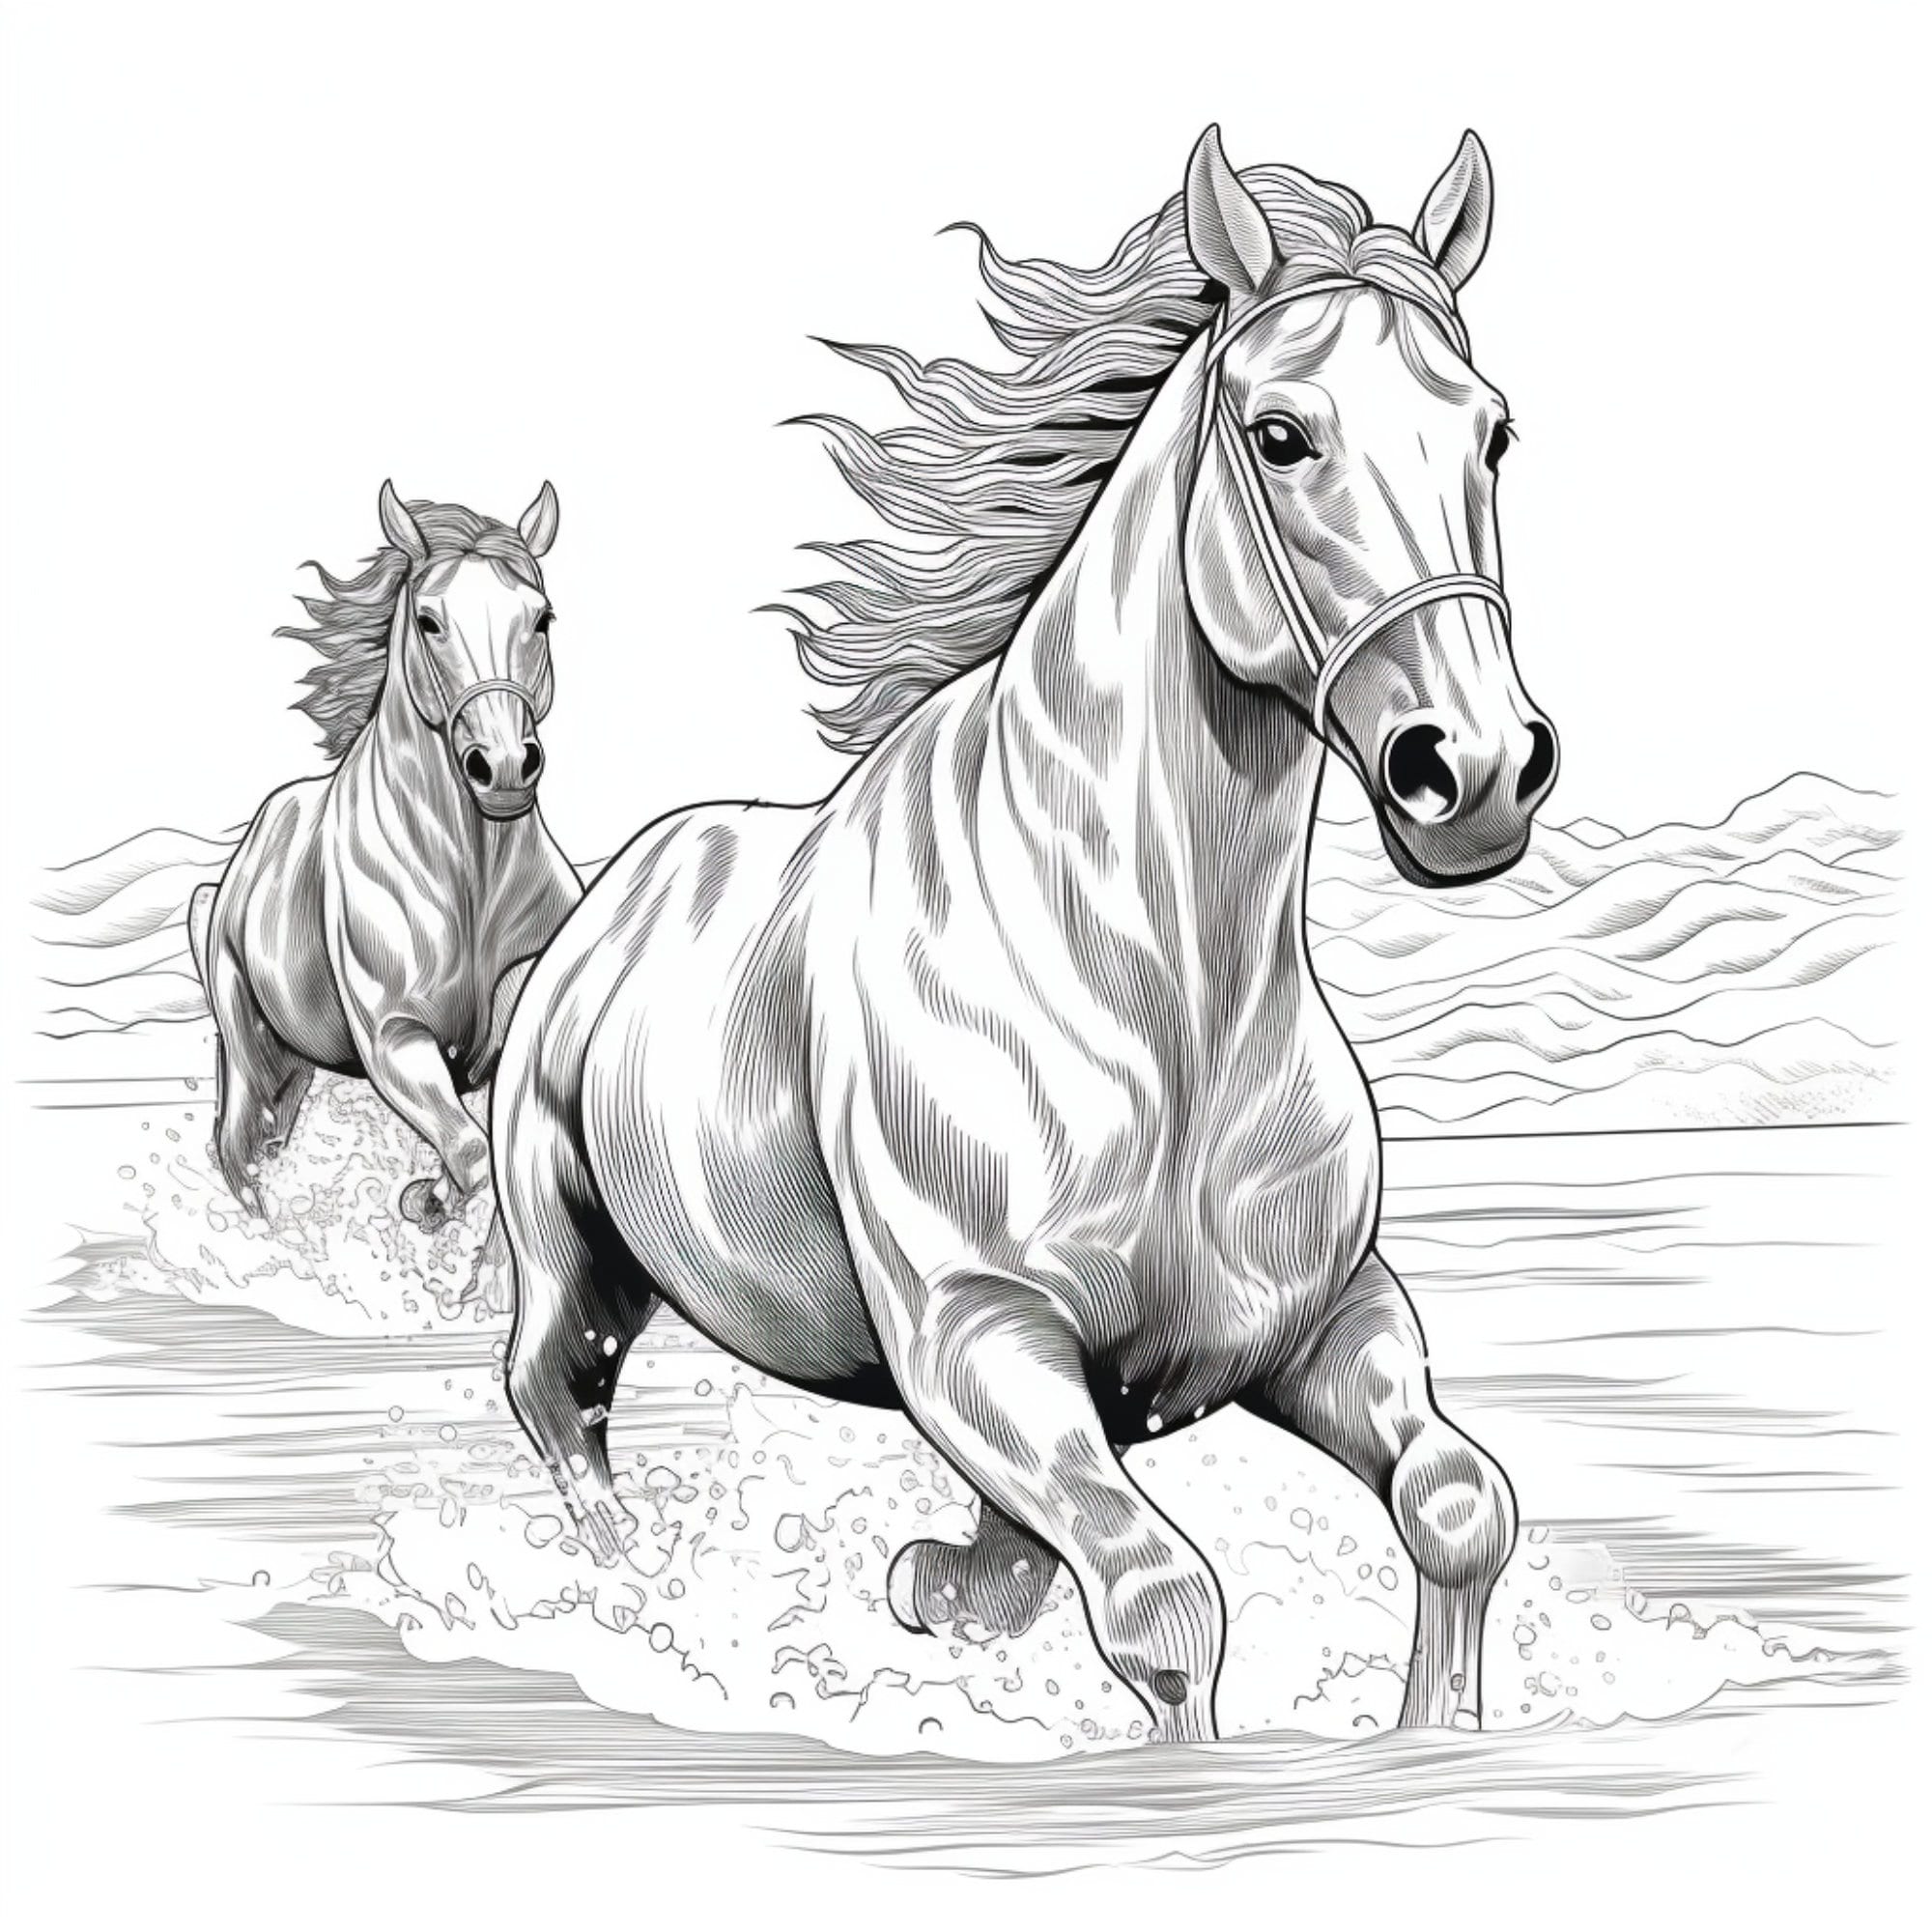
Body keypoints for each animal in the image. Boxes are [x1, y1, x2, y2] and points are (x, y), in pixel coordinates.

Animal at [188, 483, 581, 1311]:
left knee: (271, 1138)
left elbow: (499, 1158)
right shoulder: (396, 1040)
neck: (470, 882)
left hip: (294, 1063)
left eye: (542, 617)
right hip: (244, 1040)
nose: (504, 768)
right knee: (240, 1151)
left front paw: (487, 1287)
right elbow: (469, 1151)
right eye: (429, 621)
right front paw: (426, 1207)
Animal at [494, 126, 1558, 1740]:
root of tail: (612, 894)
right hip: (575, 1264)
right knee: (561, 1401)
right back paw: (644, 1600)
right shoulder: (975, 1340)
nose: (1478, 771)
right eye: (1282, 434)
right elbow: (1167, 1608)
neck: (1161, 990)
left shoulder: (1318, 1319)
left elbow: (1457, 1503)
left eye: (1491, 434)